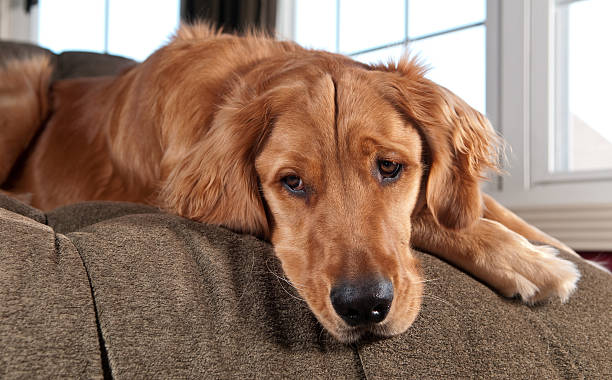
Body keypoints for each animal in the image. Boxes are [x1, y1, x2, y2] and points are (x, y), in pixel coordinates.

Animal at [1, 25, 580, 342]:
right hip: (25, 87)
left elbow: (486, 210)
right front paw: (531, 263)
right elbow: (429, 219)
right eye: (292, 182)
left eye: (390, 167)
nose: (365, 307)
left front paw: (562, 251)